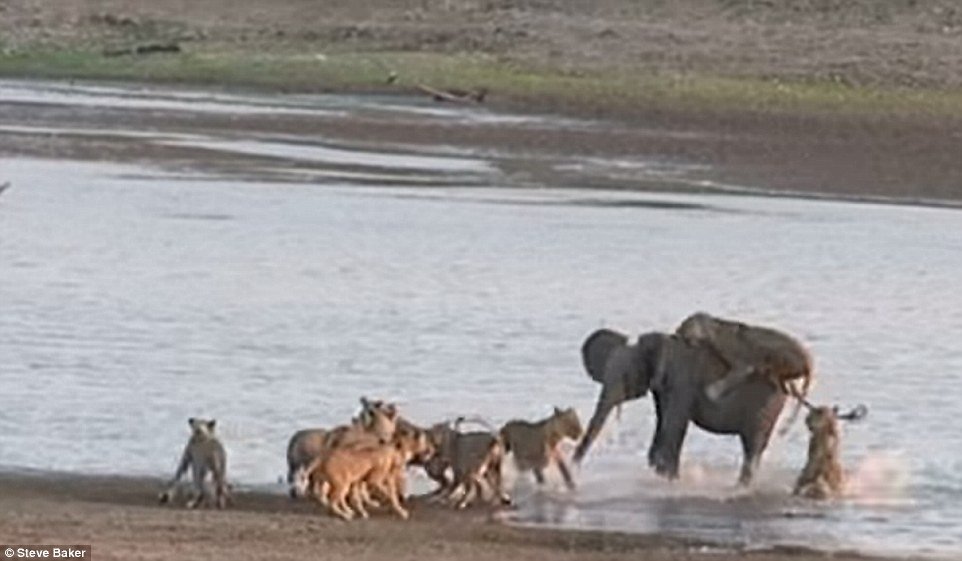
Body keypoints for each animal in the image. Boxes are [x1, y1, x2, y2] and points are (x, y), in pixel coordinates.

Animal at [568, 328, 788, 486]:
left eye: (625, 377)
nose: (574, 470)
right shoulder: (662, 387)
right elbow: (663, 422)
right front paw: (660, 473)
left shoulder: (682, 381)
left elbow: (674, 425)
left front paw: (669, 480)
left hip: (765, 404)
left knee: (752, 445)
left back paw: (741, 487)